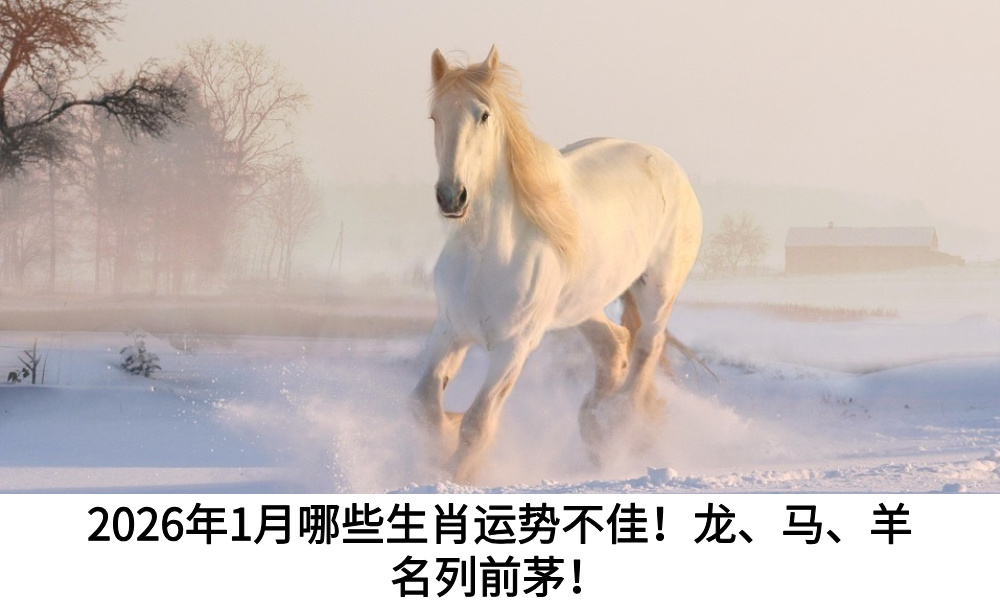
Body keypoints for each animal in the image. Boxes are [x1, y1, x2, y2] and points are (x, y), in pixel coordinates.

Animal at [412, 46, 702, 483]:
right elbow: (425, 406)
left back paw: (620, 426)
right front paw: (443, 439)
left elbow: (477, 423)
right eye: (435, 116)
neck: (486, 255)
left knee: (646, 349)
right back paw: (595, 427)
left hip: (657, 292)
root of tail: (670, 167)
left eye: (484, 115)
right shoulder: (449, 330)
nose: (451, 197)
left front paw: (456, 474)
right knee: (614, 345)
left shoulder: (514, 347)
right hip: (581, 305)